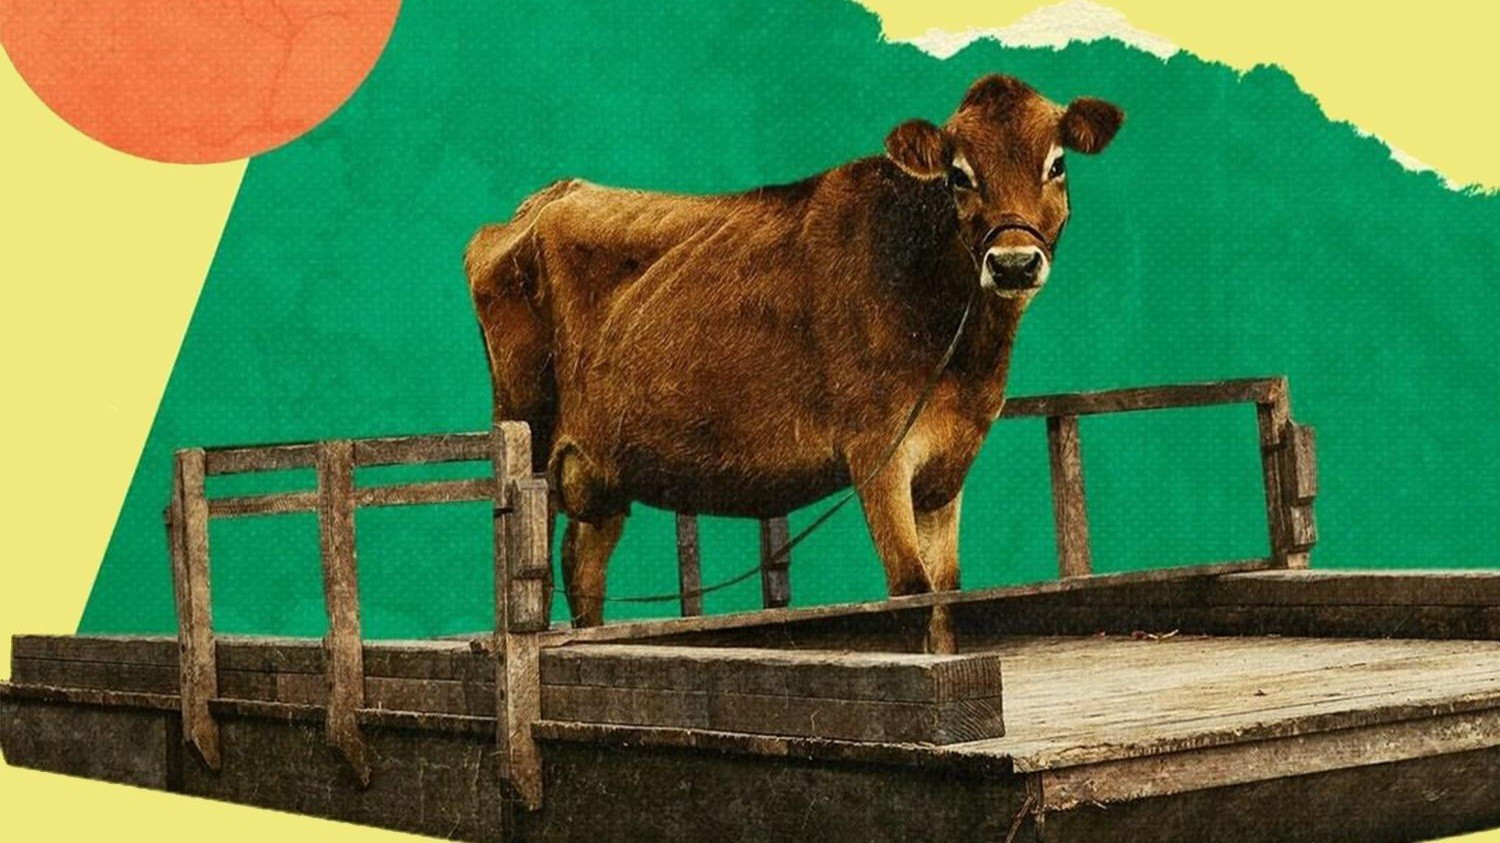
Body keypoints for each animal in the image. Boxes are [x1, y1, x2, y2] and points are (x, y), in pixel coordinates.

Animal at [466, 74, 1123, 652]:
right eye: (960, 175)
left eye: (1056, 164)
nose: (1013, 264)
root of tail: (549, 196)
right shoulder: (878, 450)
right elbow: (911, 591)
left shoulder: (948, 466)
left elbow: (947, 597)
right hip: (528, 425)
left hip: (601, 466)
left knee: (584, 562)